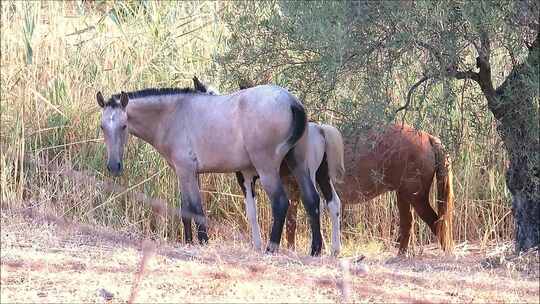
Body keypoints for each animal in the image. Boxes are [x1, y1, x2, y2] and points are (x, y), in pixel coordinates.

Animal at [96, 84, 322, 255]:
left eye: (124, 126)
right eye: (102, 127)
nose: (114, 166)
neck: (172, 115)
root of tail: (291, 101)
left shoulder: (185, 171)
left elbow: (196, 208)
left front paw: (203, 242)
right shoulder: (187, 174)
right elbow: (186, 209)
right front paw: (188, 242)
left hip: (267, 170)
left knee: (281, 203)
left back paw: (271, 248)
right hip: (299, 166)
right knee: (312, 200)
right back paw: (315, 249)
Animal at [284, 122, 454, 253]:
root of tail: (428, 136)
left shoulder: (293, 189)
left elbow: (291, 221)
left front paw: (290, 250)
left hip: (416, 197)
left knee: (436, 223)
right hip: (404, 195)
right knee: (409, 224)